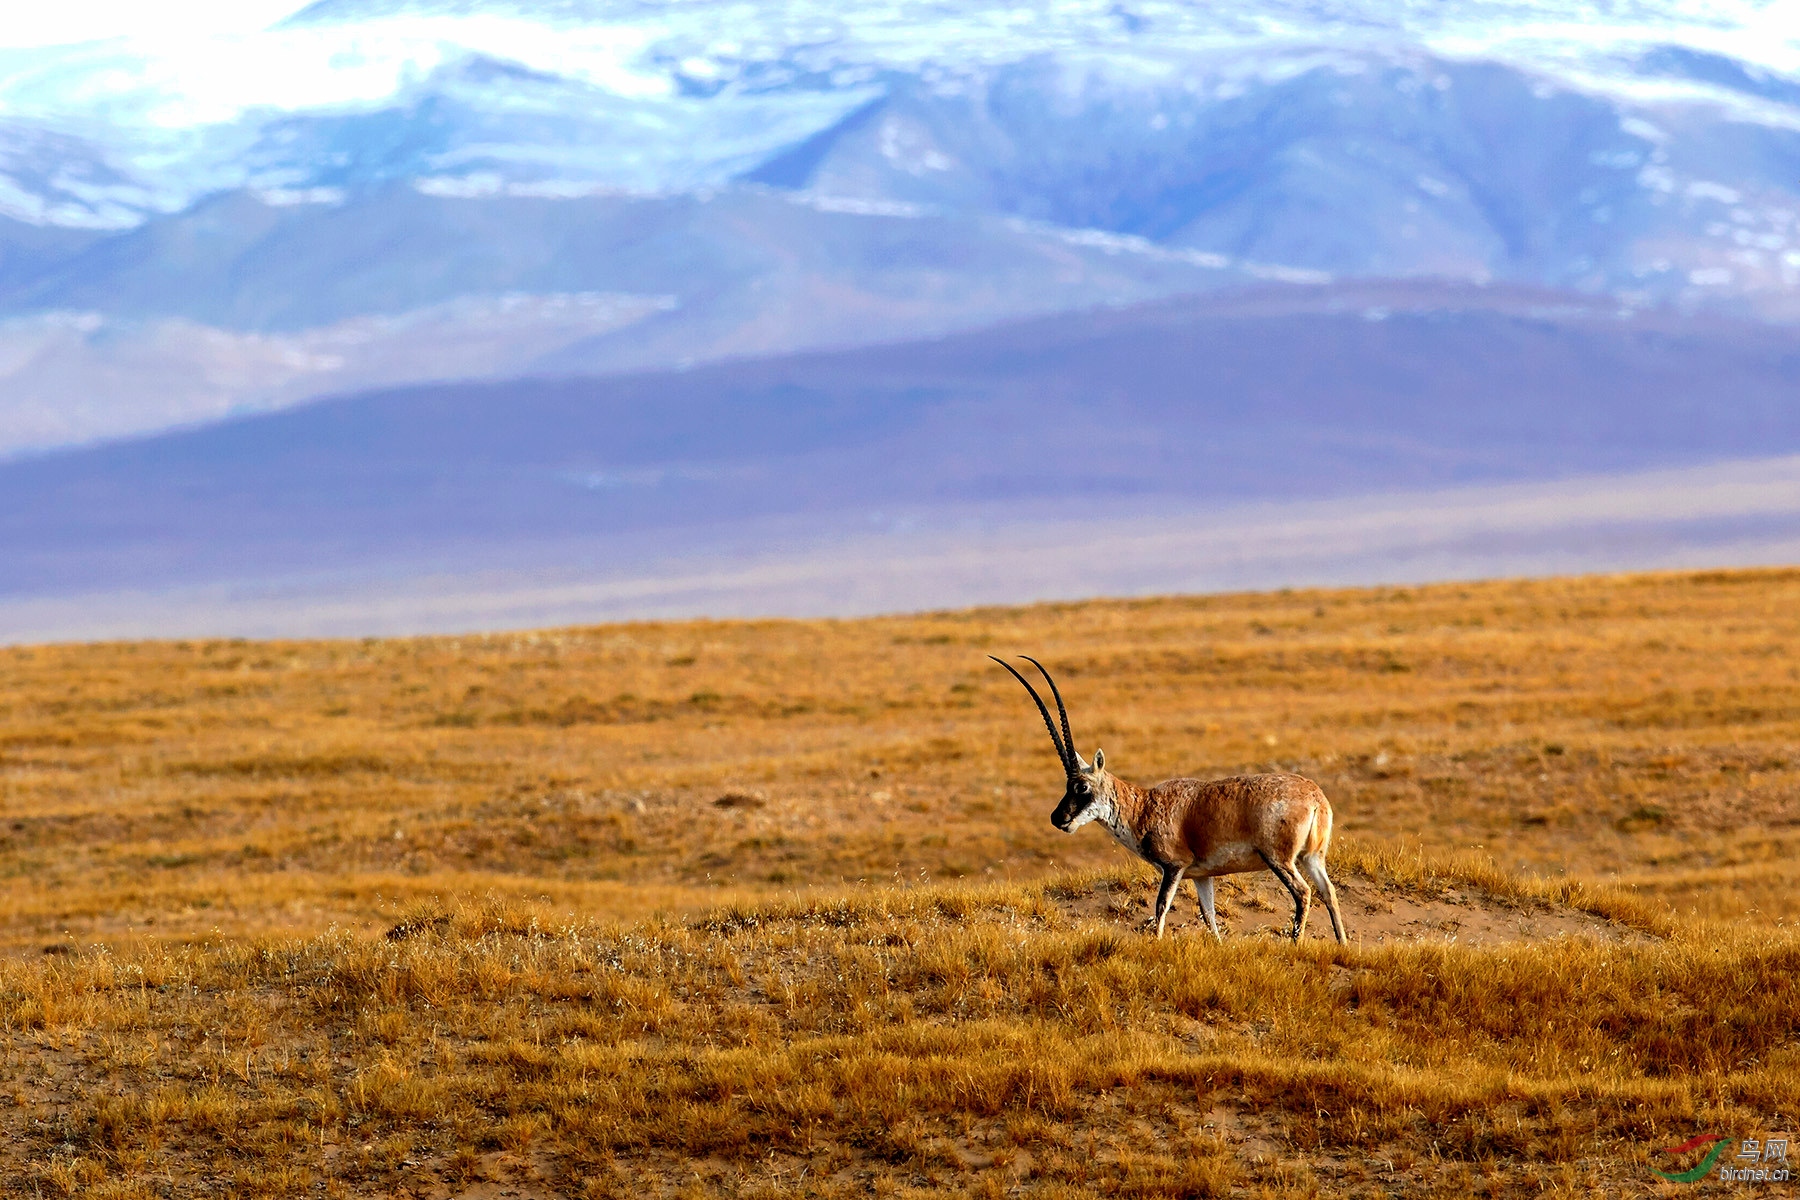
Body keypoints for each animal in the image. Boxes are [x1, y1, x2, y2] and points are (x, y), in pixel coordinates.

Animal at [986, 662, 1353, 942]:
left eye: (1082, 786)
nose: (1057, 818)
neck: (1144, 805)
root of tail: (1316, 798)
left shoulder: (1174, 867)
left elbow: (1160, 906)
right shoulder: (1202, 876)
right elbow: (1209, 916)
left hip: (1280, 859)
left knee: (1303, 893)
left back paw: (1295, 943)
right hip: (1312, 858)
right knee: (1328, 892)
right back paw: (1342, 944)